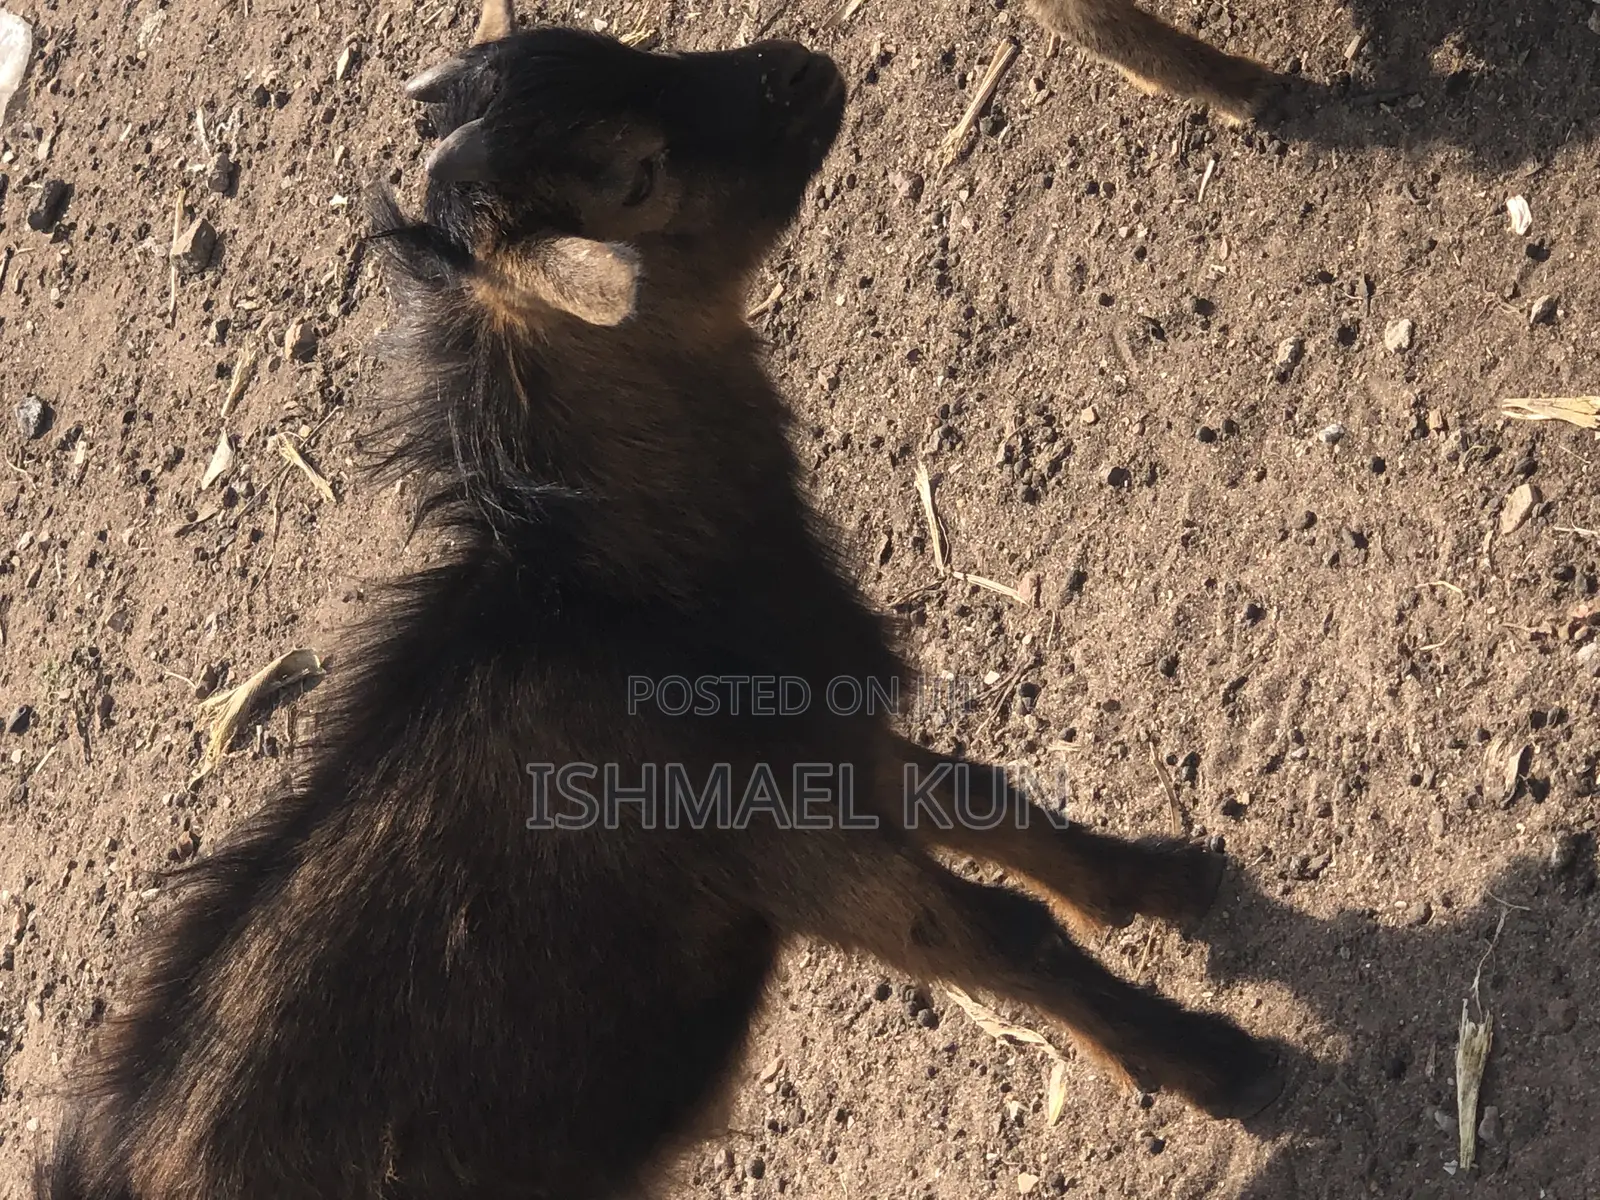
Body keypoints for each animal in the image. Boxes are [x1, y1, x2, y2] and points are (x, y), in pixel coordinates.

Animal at [37, 6, 1283, 1197]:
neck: (615, 594)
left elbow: (986, 799)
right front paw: (1212, 1062)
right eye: (635, 175)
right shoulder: (792, 843)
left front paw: (1161, 881)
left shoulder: (831, 742)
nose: (798, 68)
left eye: (609, 46)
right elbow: (993, 936)